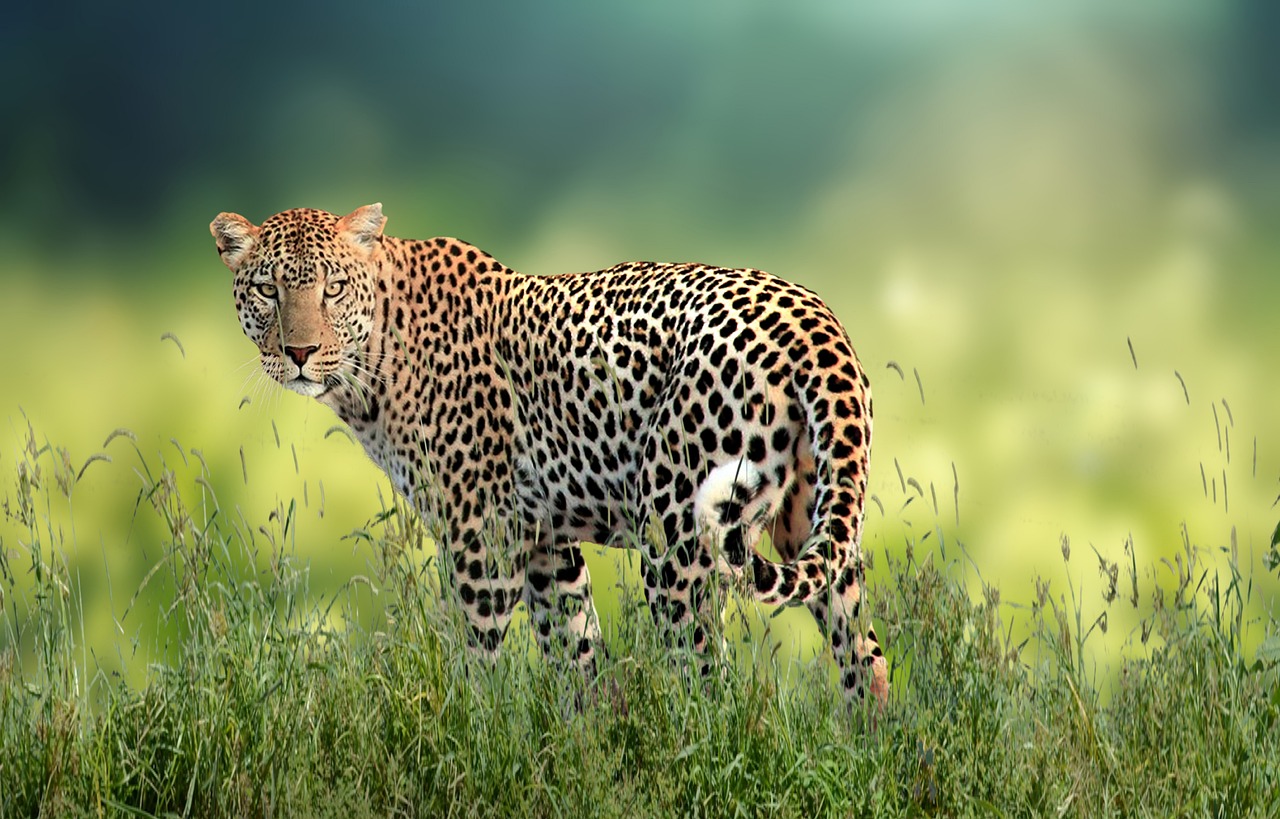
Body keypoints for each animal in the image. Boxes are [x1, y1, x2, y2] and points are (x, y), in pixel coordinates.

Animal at [211, 203, 888, 701]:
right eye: (267, 289)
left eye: (332, 289)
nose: (299, 352)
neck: (370, 365)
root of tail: (813, 320)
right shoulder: (543, 539)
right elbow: (575, 655)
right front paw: (587, 750)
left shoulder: (483, 536)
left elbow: (475, 661)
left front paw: (467, 740)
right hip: (811, 523)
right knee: (865, 656)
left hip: (676, 535)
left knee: (705, 677)